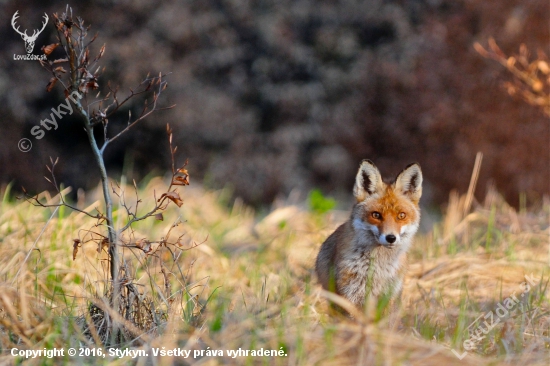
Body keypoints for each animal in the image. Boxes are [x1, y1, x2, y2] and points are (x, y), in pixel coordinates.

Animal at [314, 161, 422, 312]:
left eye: (401, 216)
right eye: (376, 215)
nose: (391, 238)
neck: (379, 268)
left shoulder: (389, 295)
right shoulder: (350, 294)